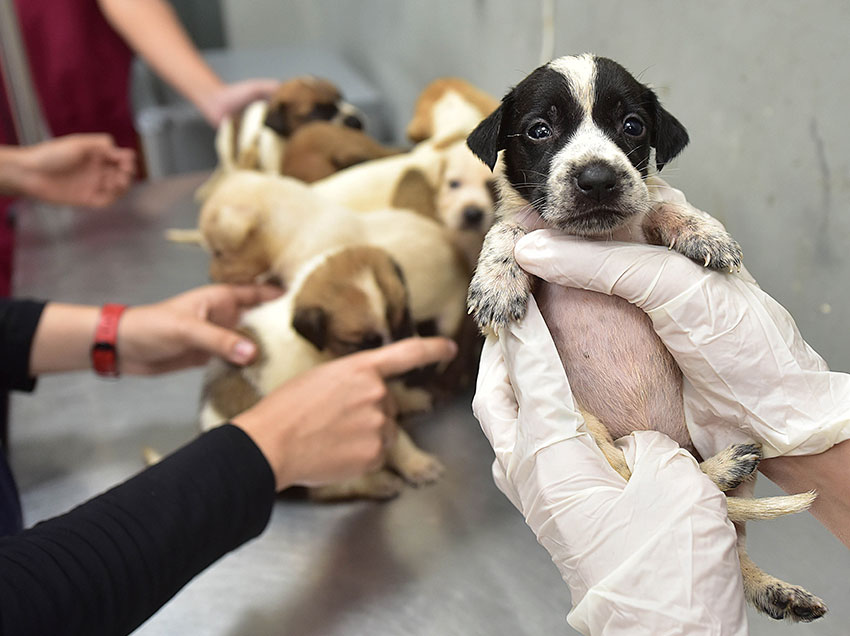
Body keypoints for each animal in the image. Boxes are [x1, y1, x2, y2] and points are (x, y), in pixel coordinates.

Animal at [200, 246, 444, 500]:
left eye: (405, 318)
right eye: (364, 344)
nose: (414, 367)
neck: (319, 350)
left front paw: (408, 400)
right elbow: (395, 436)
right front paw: (416, 463)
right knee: (332, 487)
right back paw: (378, 482)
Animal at [468, 53, 824, 620]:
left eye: (632, 125)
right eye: (539, 130)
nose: (596, 178)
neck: (597, 240)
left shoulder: (646, 219)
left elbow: (658, 205)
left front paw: (703, 230)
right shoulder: (524, 235)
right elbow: (510, 229)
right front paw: (498, 279)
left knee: (729, 529)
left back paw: (768, 577)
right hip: (589, 428)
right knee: (641, 475)